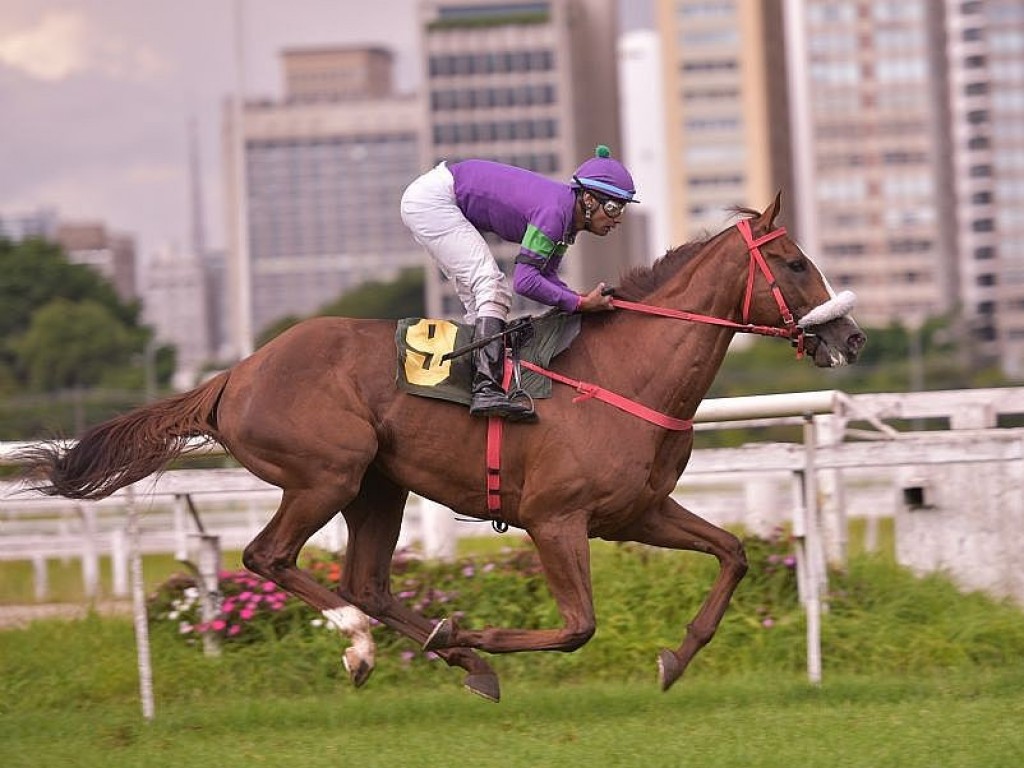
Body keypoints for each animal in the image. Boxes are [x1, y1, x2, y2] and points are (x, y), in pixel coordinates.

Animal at [16, 193, 864, 704]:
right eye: (794, 262)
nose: (851, 337)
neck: (622, 372)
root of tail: (232, 375)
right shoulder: (555, 519)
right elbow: (579, 625)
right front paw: (468, 630)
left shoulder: (637, 512)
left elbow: (734, 554)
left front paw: (678, 656)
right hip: (329, 472)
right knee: (270, 558)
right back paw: (368, 648)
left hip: (378, 486)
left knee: (367, 580)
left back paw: (458, 659)